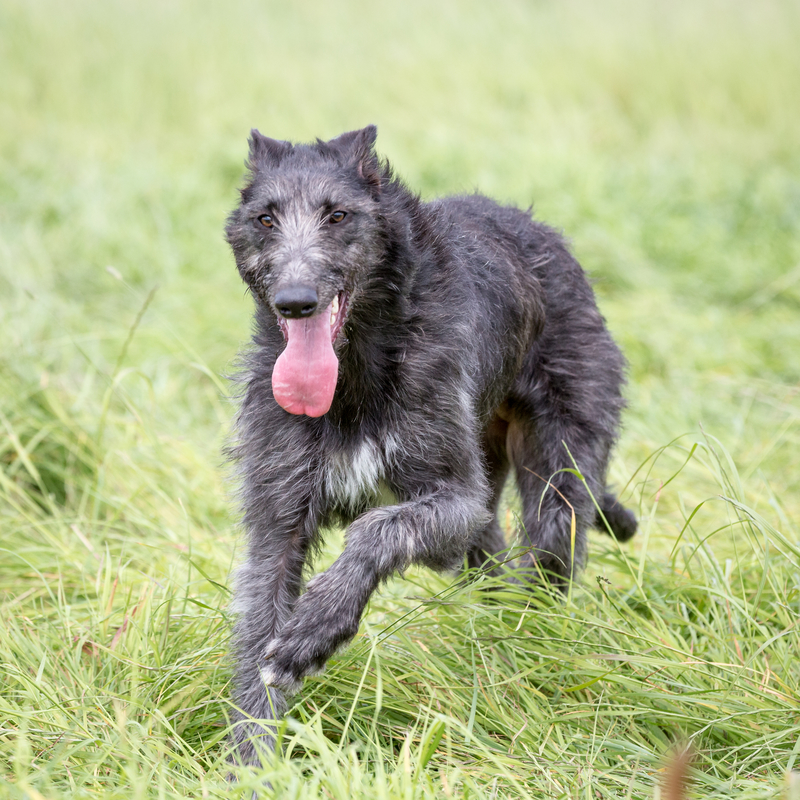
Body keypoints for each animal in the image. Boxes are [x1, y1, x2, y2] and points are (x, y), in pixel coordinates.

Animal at [223, 125, 636, 764]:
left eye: (338, 215)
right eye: (265, 218)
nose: (295, 300)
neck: (358, 373)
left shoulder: (456, 503)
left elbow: (377, 528)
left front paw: (314, 629)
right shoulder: (278, 516)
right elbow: (260, 616)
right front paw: (252, 763)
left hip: (562, 449)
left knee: (551, 540)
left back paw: (529, 652)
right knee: (494, 564)